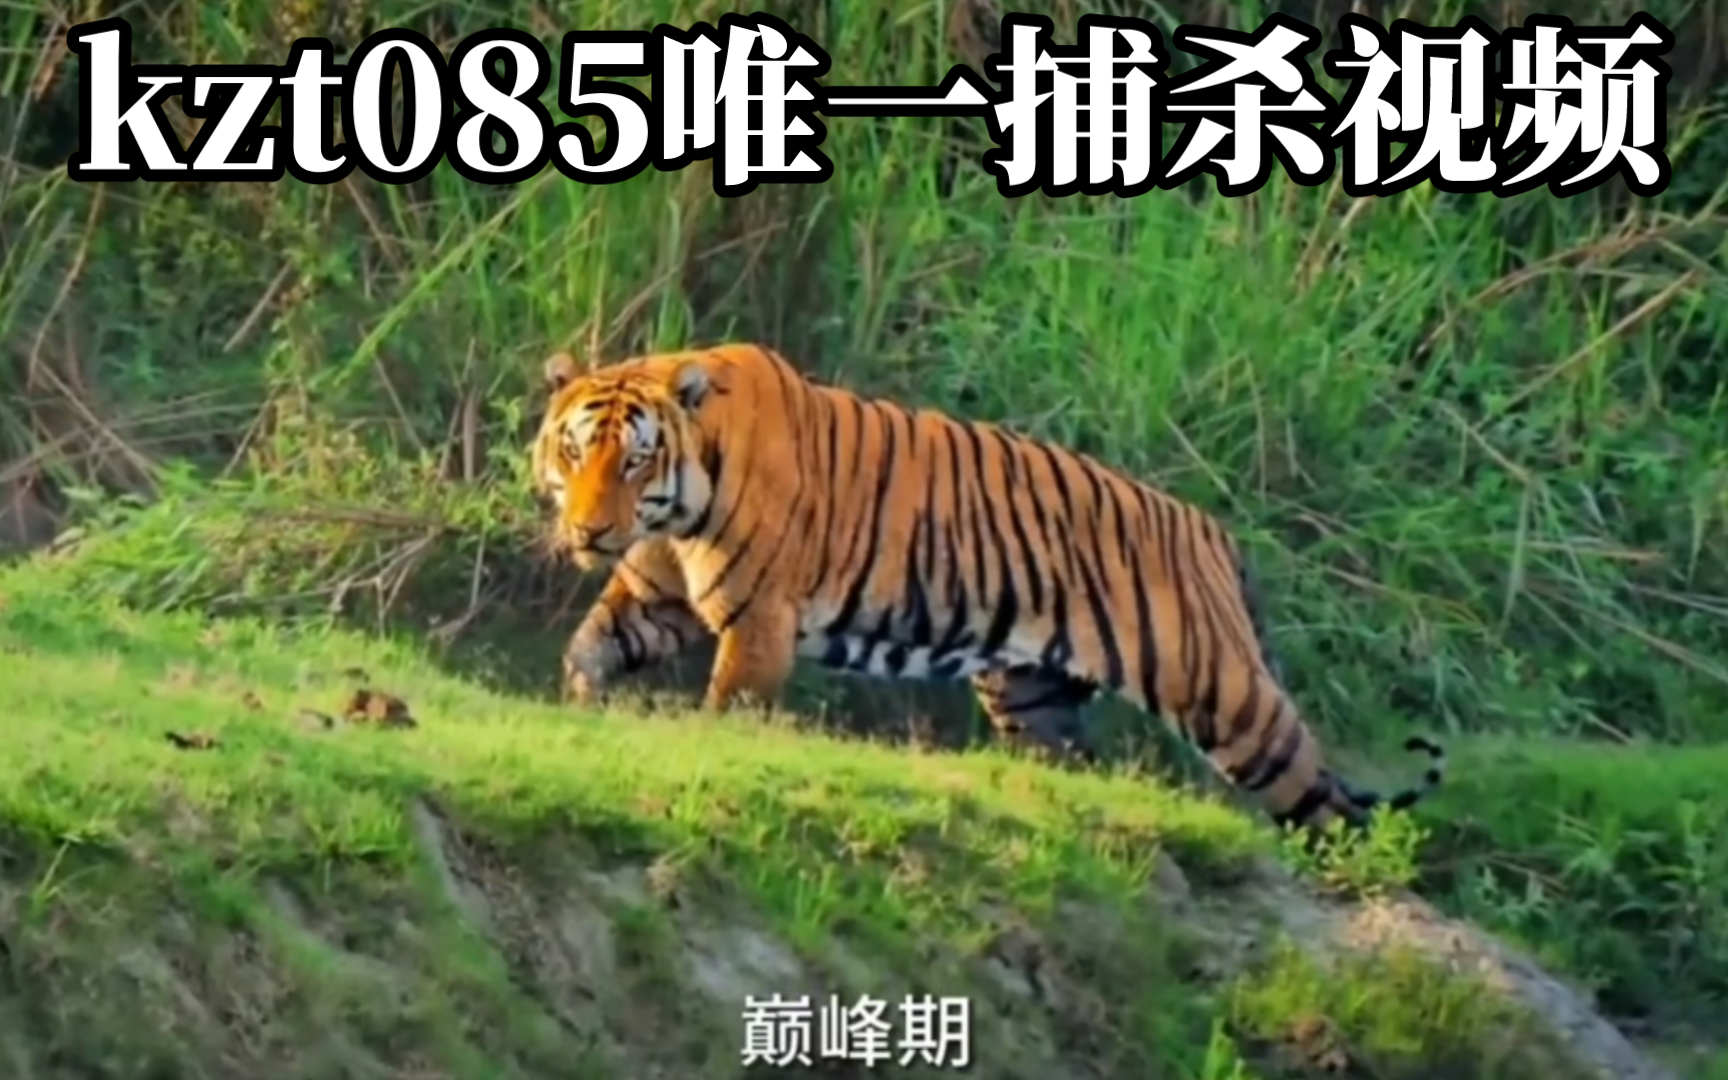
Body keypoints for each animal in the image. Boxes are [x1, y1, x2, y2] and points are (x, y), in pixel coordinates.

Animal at [529, 342, 1445, 835]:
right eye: (576, 452)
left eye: (635, 459)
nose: (589, 532)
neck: (674, 514)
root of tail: (1213, 532)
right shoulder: (654, 596)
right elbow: (588, 648)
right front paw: (578, 714)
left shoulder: (758, 622)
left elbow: (730, 709)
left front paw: (709, 752)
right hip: (1031, 694)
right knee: (1076, 760)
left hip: (1225, 695)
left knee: (1322, 795)